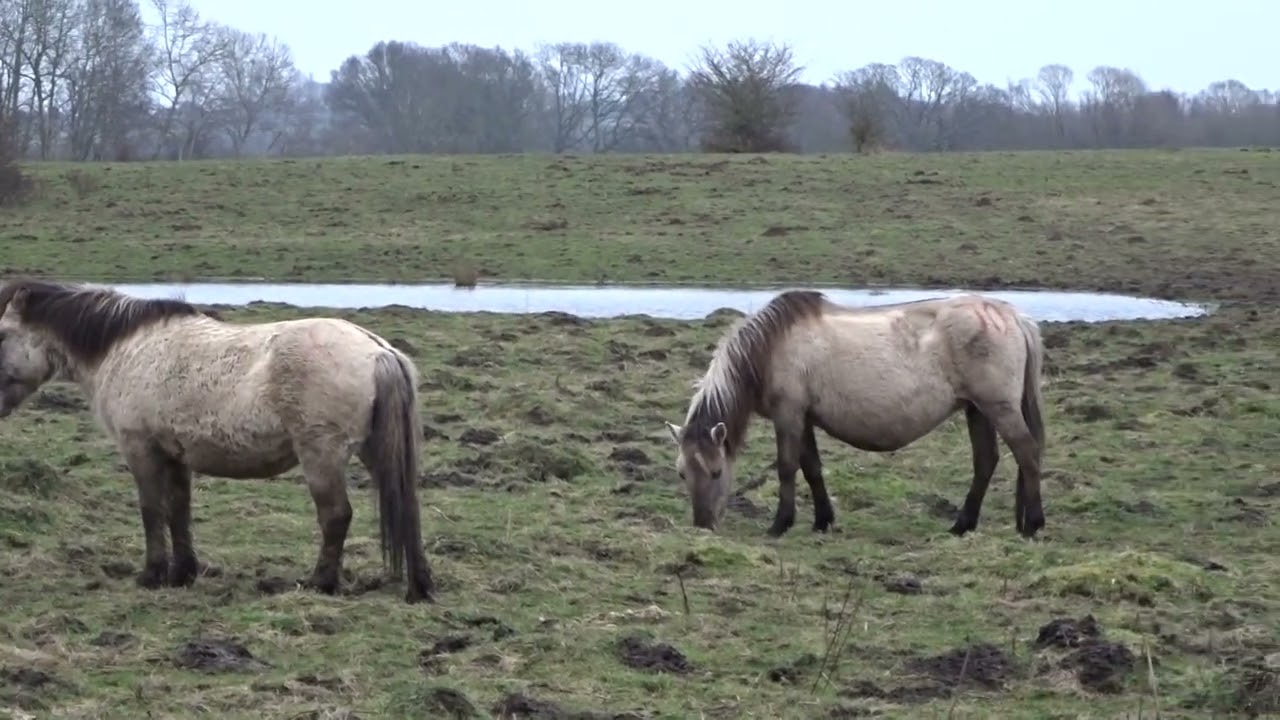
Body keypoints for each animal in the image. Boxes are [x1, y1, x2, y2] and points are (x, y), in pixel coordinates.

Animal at [0, 278, 434, 604]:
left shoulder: (141, 450)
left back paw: (319, 584)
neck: (127, 347)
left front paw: (152, 575)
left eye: (2, 334)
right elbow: (178, 512)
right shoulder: (176, 456)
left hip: (321, 456)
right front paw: (182, 574)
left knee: (336, 516)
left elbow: (151, 511)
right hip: (375, 452)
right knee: (407, 507)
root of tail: (378, 350)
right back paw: (420, 587)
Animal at [663, 289, 1047, 539]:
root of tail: (1013, 317)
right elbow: (812, 467)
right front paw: (822, 520)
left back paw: (1032, 525)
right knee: (986, 461)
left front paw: (780, 524)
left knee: (1027, 454)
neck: (769, 349)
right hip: (976, 409)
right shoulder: (804, 417)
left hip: (998, 407)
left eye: (716, 472)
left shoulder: (788, 414)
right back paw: (962, 525)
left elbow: (787, 467)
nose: (702, 525)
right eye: (682, 473)